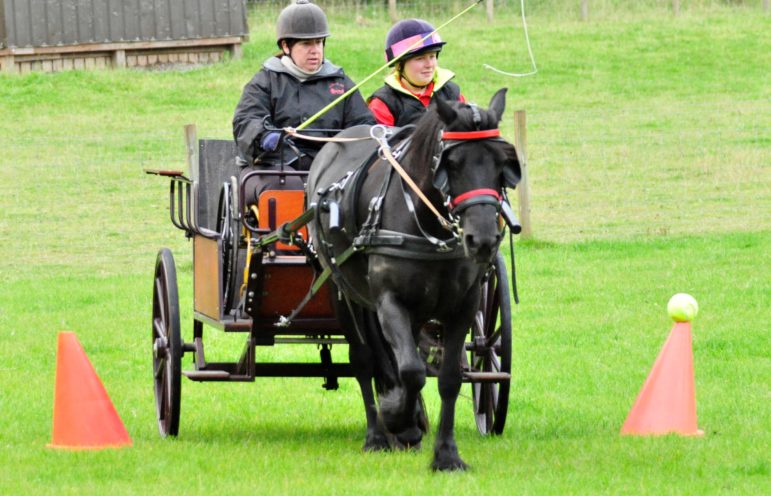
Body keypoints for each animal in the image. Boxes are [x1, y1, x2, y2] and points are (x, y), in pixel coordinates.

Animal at [306, 89, 520, 472]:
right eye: (452, 163)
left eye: (501, 163)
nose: (482, 240)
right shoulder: (391, 302)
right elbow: (409, 370)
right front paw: (398, 420)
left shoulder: (463, 306)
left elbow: (449, 378)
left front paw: (446, 455)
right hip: (343, 292)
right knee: (364, 360)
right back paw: (378, 436)